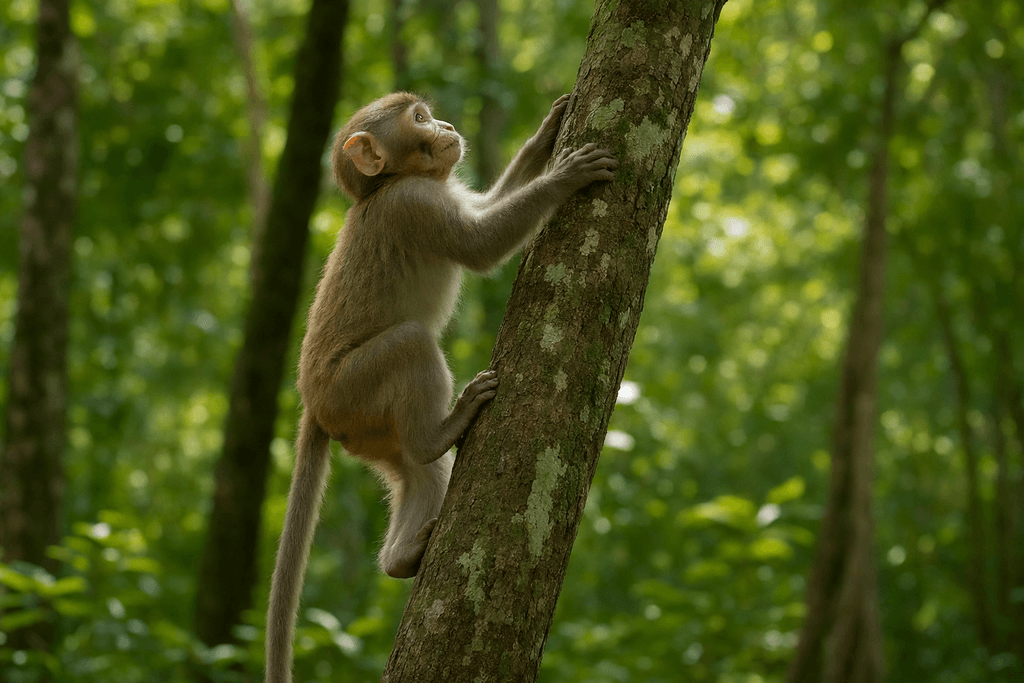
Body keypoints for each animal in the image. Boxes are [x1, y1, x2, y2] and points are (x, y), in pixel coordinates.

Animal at [265, 91, 616, 683]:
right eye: (419, 120)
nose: (447, 125)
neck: (389, 184)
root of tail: (312, 405)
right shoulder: (414, 205)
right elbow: (479, 245)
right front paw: (565, 176)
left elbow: (485, 207)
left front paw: (544, 138)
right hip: (353, 388)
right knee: (411, 344)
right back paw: (443, 430)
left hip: (366, 429)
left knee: (417, 471)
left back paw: (399, 556)